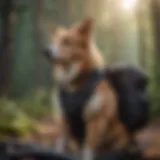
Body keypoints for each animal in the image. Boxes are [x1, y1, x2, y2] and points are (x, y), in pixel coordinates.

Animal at [43, 18, 133, 159]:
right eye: (53, 41)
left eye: (67, 41)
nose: (46, 51)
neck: (74, 85)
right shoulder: (63, 116)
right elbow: (60, 143)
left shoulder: (95, 119)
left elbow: (88, 147)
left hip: (119, 131)